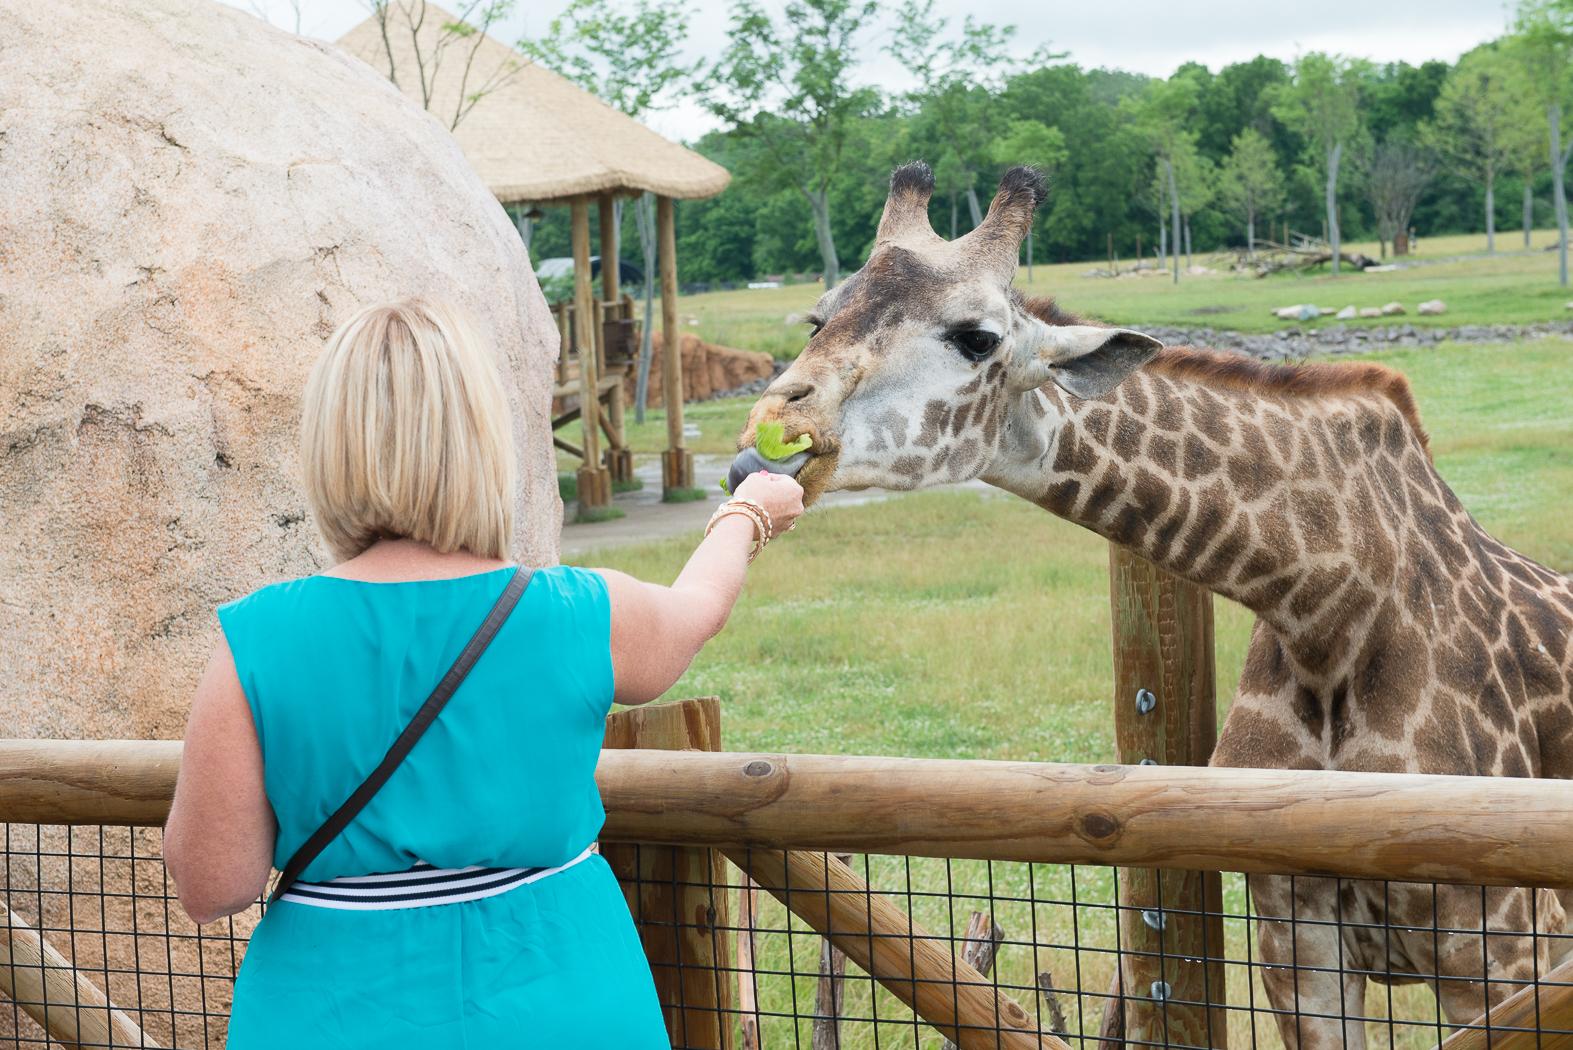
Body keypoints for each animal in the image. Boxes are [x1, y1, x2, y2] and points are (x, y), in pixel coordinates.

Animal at [742, 160, 1573, 1043]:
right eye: (818, 317)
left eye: (976, 336)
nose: (771, 434)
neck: (1325, 610)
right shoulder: (1295, 939)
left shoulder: (1505, 941)